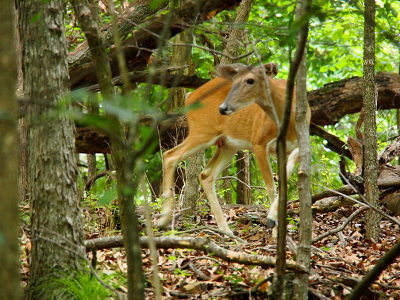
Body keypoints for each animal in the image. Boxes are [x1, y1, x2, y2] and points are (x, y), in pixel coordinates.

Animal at [156, 63, 310, 237]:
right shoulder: (258, 142)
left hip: (227, 144)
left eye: (250, 80)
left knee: (206, 175)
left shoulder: (299, 142)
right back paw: (163, 220)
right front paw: (274, 226)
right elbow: (270, 186)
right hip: (203, 131)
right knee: (170, 155)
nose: (223, 107)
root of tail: (189, 96)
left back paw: (225, 229)